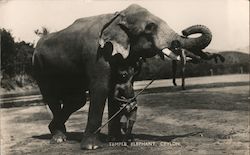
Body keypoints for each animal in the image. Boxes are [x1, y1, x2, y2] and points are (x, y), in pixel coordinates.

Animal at [32, 3, 214, 150]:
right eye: (149, 27)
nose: (185, 31)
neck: (116, 16)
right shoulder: (96, 54)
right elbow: (101, 88)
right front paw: (92, 147)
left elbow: (114, 87)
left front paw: (116, 140)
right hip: (39, 67)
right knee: (53, 96)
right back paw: (58, 138)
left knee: (77, 100)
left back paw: (56, 131)